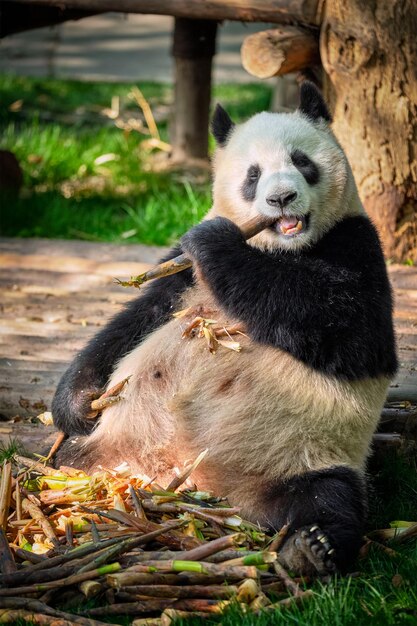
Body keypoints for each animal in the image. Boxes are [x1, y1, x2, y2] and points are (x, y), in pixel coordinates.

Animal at [52, 83, 396, 576]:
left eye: (302, 162)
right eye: (253, 175)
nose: (281, 199)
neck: (280, 246)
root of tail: (194, 484)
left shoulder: (356, 243)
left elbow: (346, 327)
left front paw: (216, 242)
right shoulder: (179, 274)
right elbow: (137, 317)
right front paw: (78, 402)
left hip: (306, 453)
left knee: (330, 498)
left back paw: (310, 547)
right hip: (104, 450)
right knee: (62, 458)